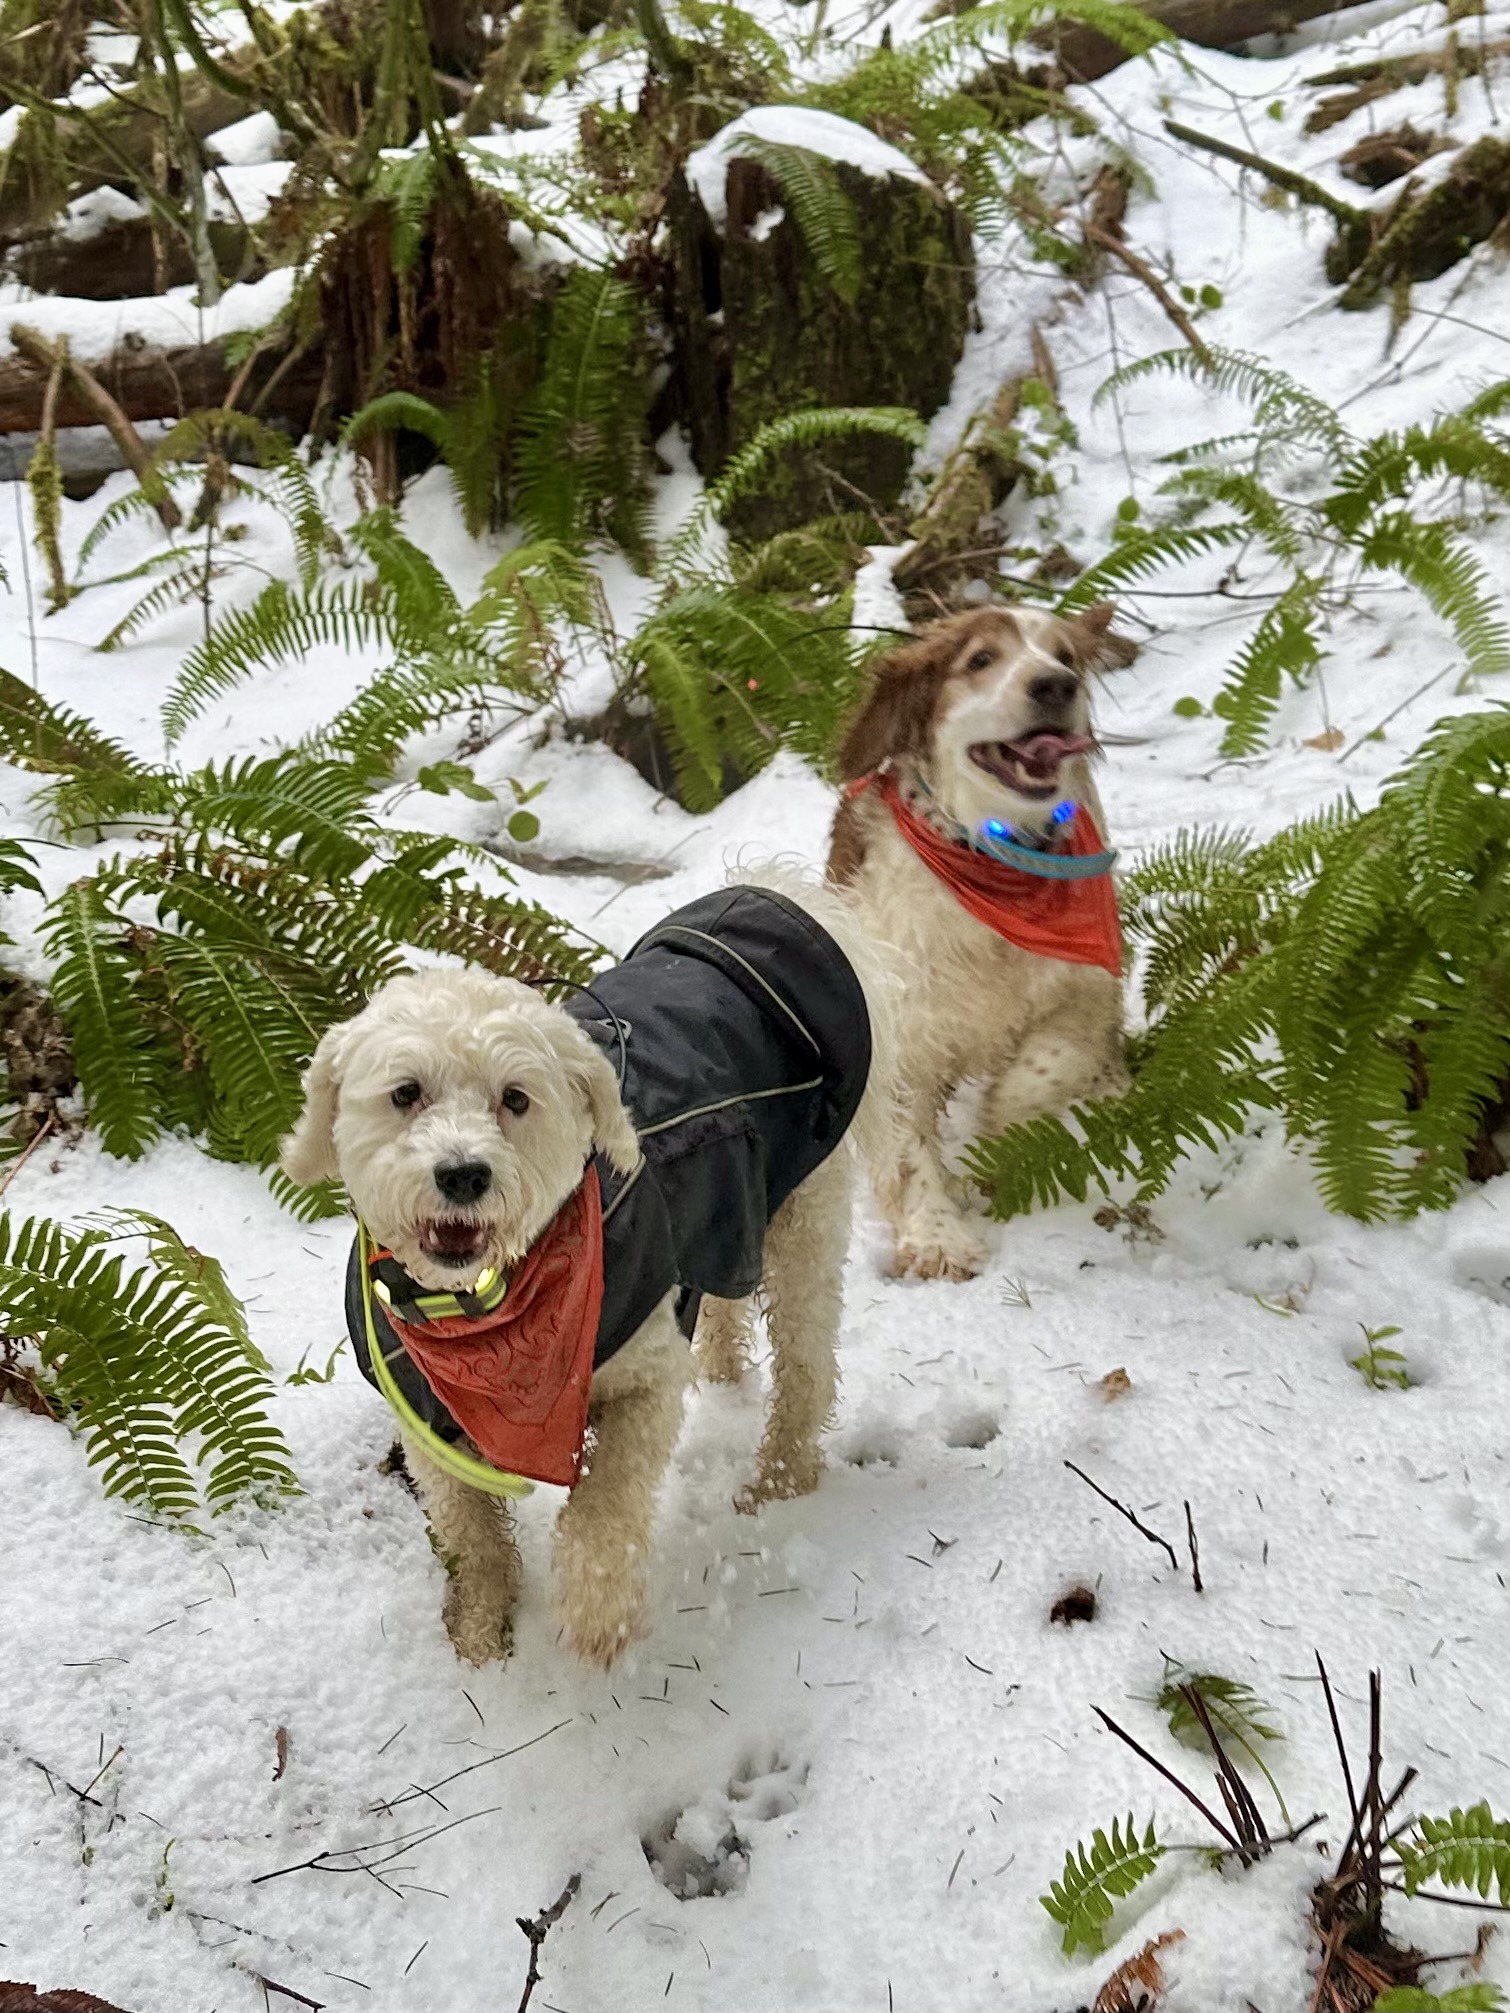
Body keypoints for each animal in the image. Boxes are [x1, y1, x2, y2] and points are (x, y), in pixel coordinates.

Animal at [829, 603, 1135, 1280]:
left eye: (1065, 657)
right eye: (980, 660)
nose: (1055, 685)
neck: (992, 857)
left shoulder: (1089, 983)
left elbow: (1054, 1062)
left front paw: (1006, 1126)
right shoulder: (901, 1023)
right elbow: (909, 1147)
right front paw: (938, 1235)